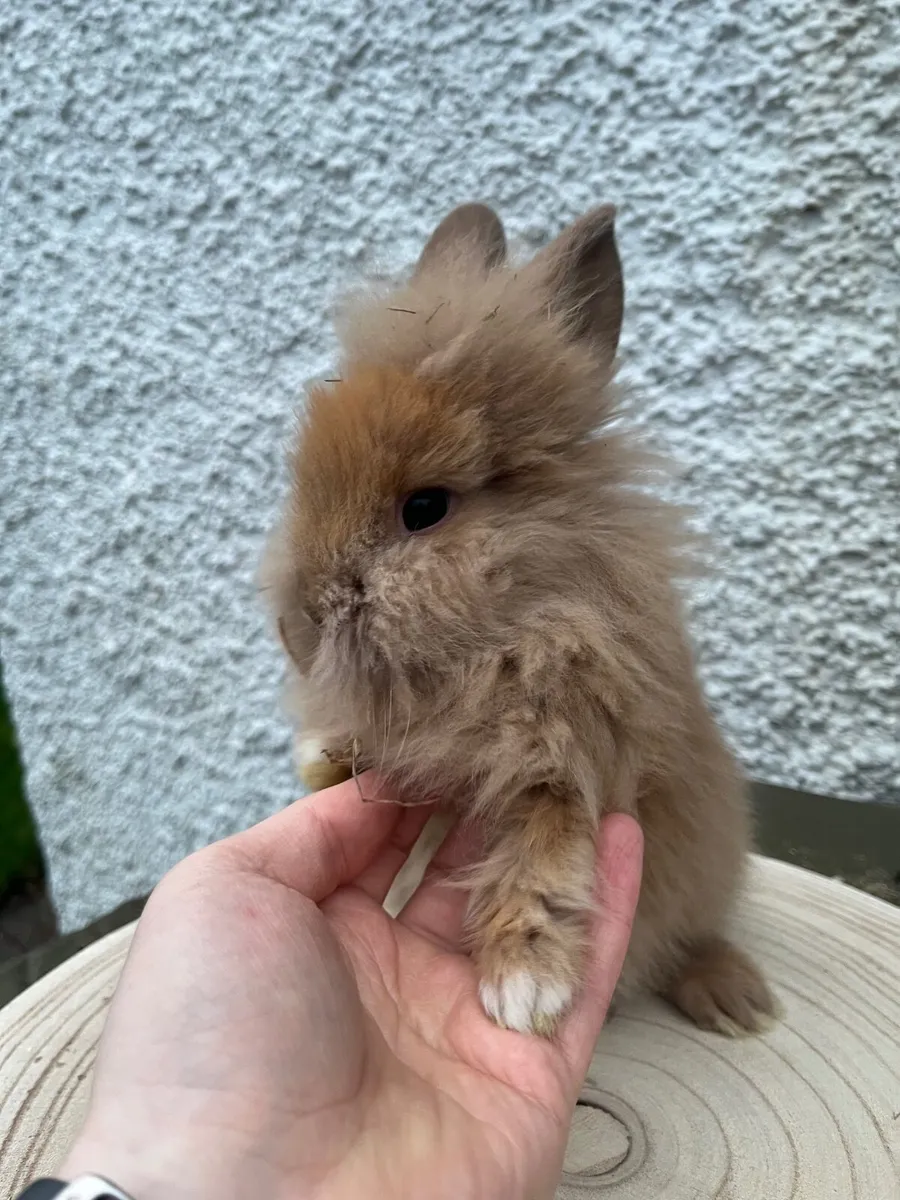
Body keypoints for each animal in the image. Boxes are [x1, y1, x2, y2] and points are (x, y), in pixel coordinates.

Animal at [263, 202, 777, 1038]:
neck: (504, 637)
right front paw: (322, 756)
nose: (300, 623)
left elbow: (545, 859)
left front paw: (523, 988)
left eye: (424, 508)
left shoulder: (573, 759)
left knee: (690, 936)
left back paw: (736, 1002)